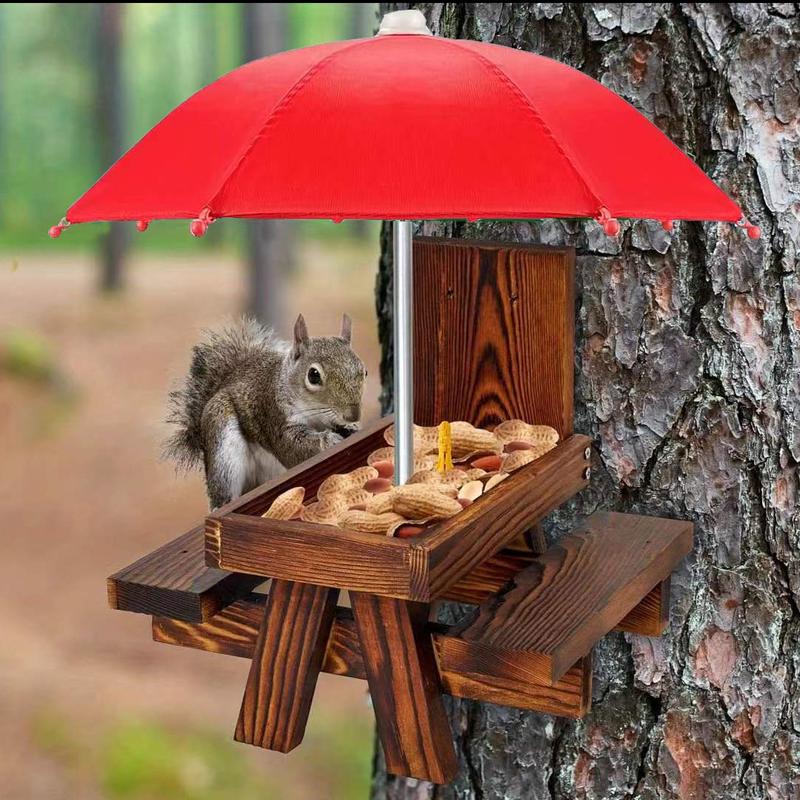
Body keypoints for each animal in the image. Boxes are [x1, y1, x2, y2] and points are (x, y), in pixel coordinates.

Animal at [164, 313, 365, 510]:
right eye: (313, 375)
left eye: (364, 371)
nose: (352, 415)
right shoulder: (274, 415)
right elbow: (292, 448)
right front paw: (330, 439)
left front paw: (352, 428)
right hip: (222, 444)